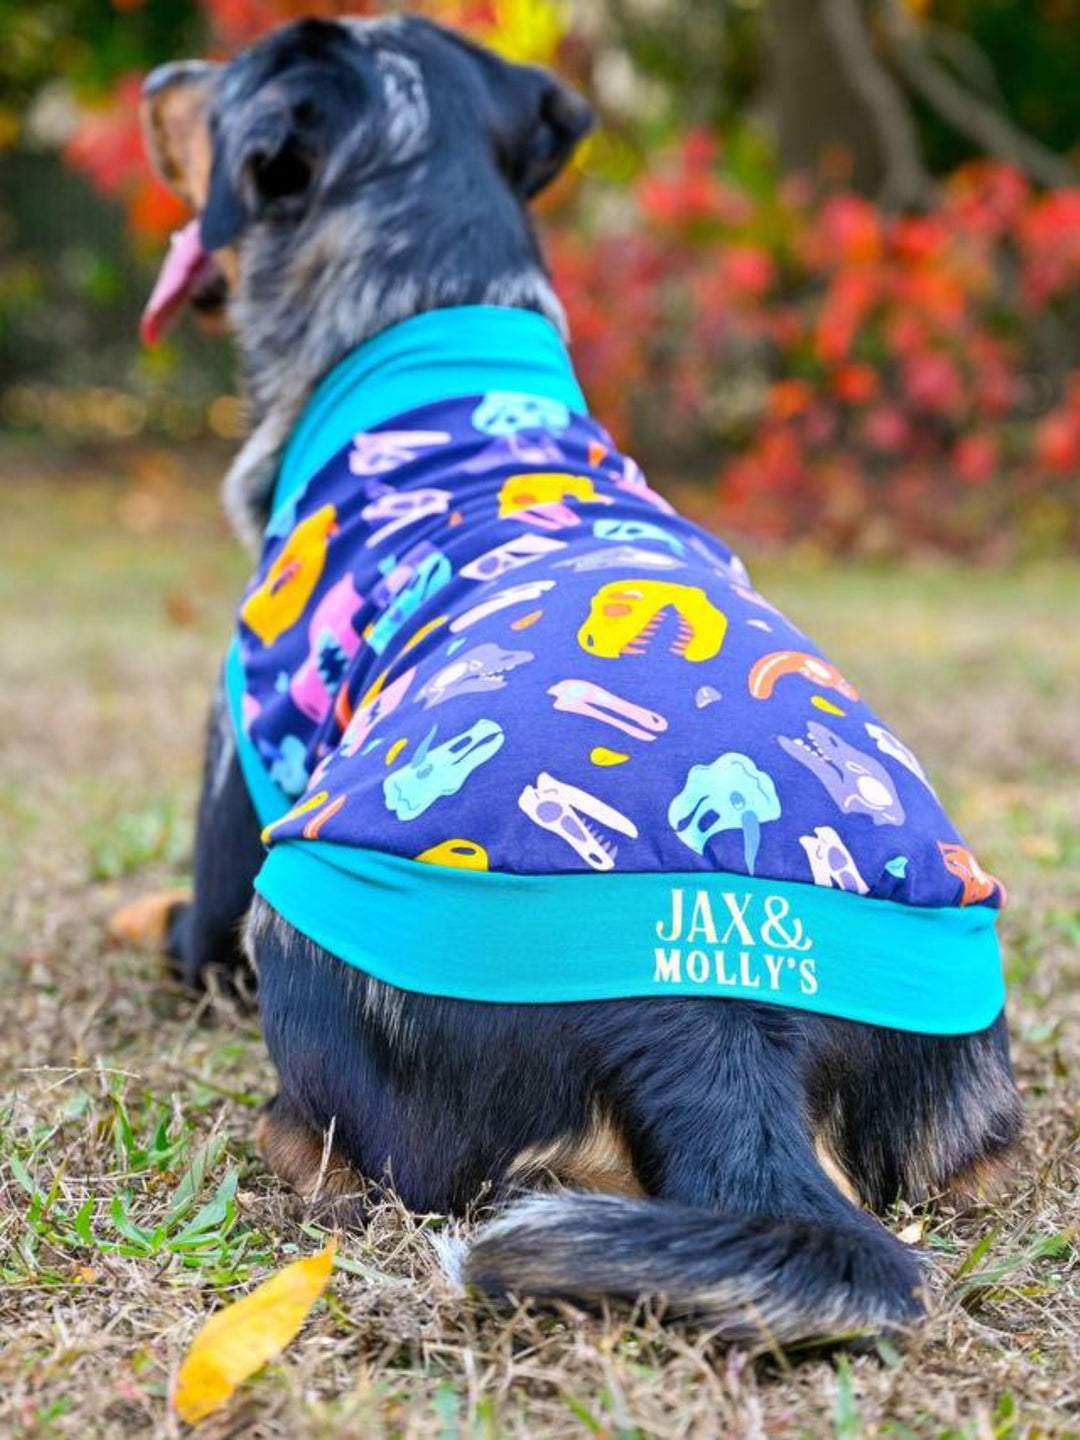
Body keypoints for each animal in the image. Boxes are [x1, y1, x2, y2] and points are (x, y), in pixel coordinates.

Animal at [120, 11, 1031, 1342]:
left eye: (234, 77)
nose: (157, 79)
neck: (426, 322)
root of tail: (716, 1022)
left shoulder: (242, 750)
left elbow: (178, 924)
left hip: (304, 914)